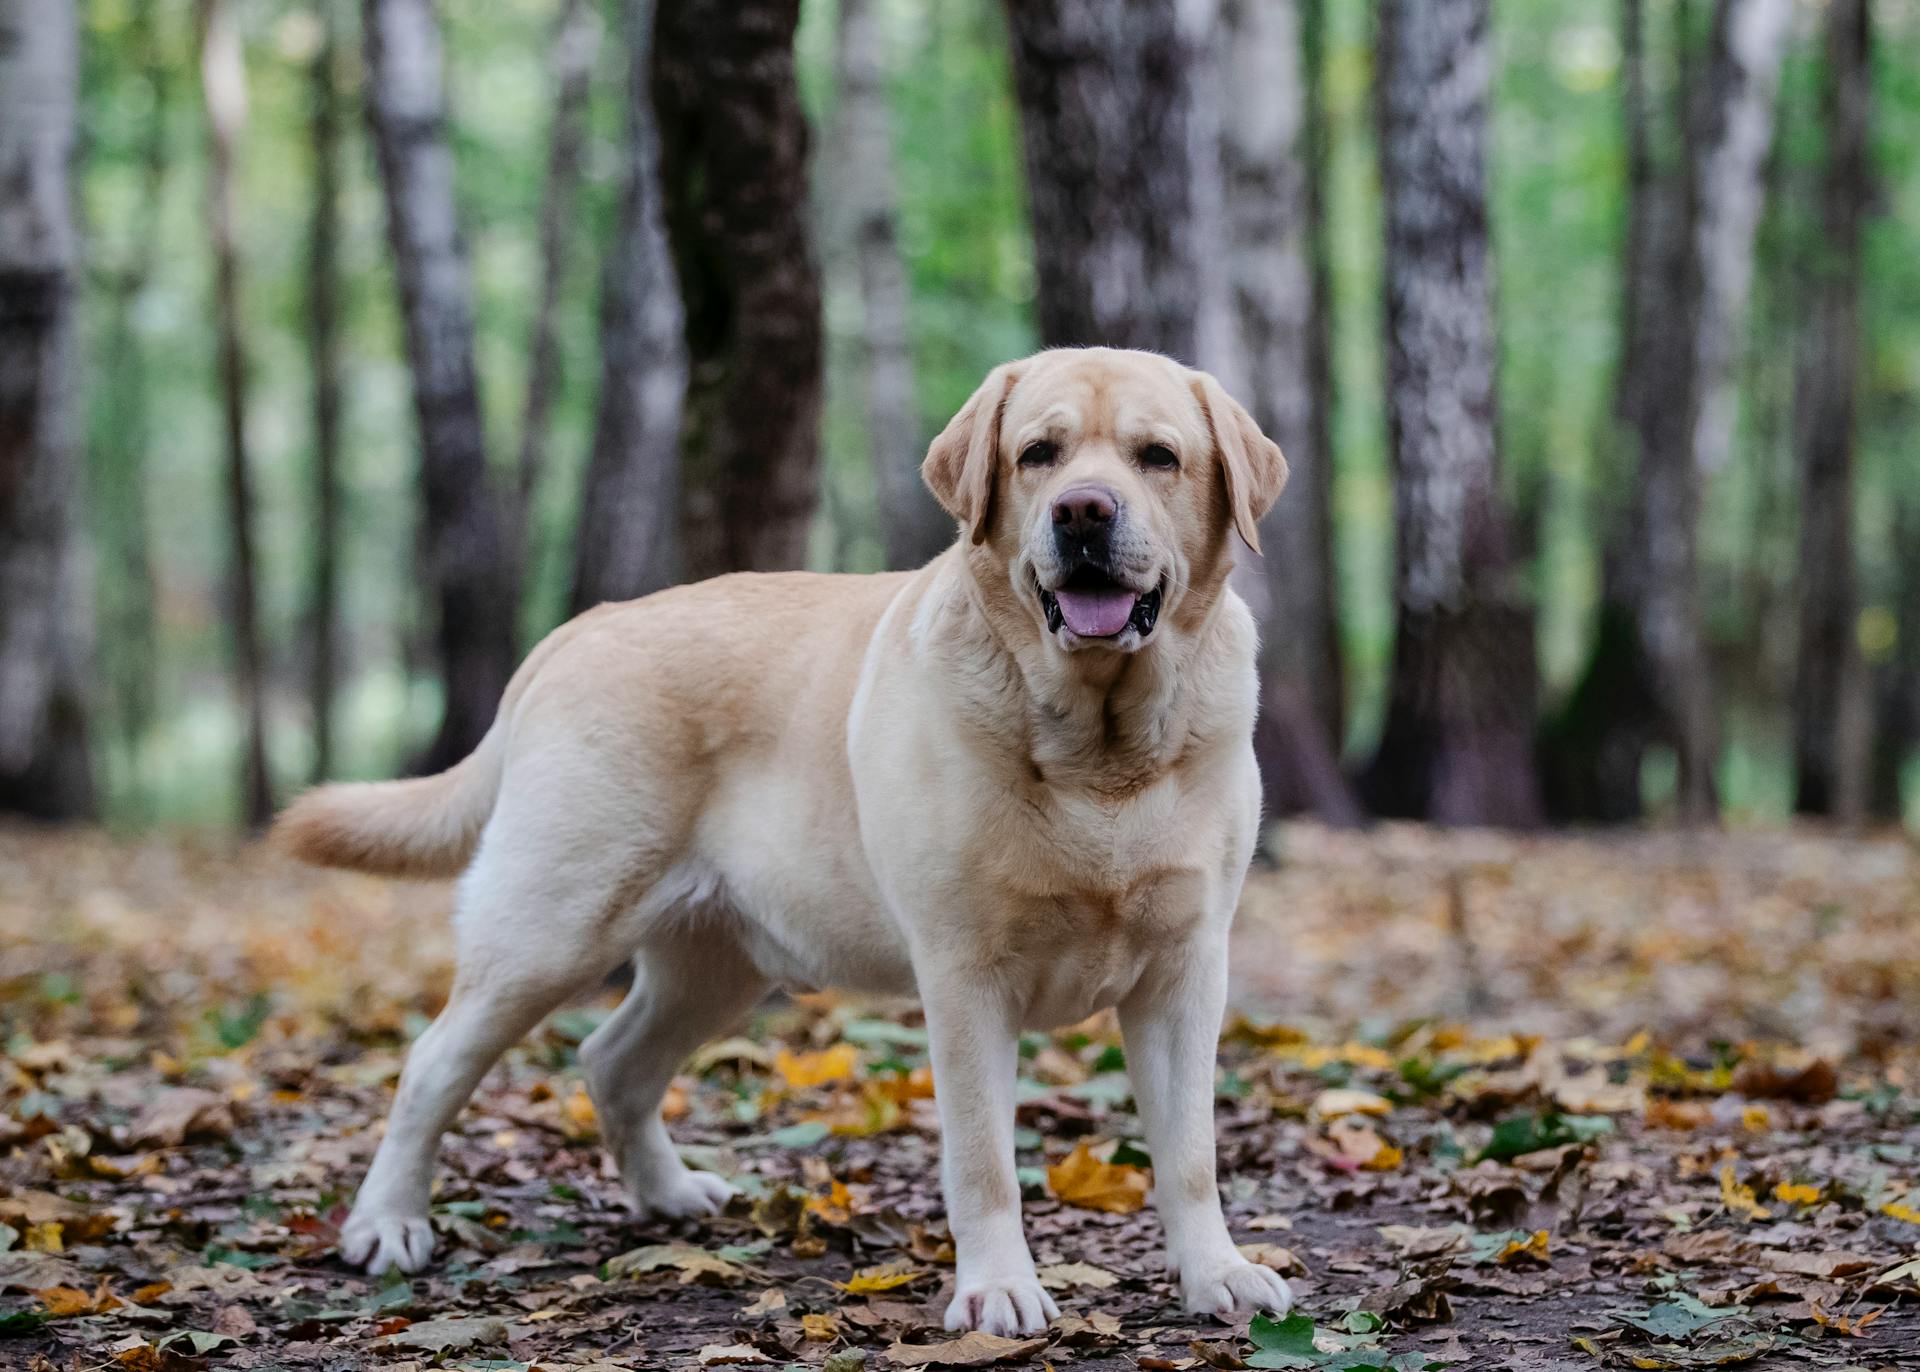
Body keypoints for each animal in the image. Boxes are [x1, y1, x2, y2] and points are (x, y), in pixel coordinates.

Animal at [274, 349, 1290, 1335]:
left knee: (613, 1061)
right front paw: (997, 1291)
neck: (1100, 753)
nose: (1083, 511)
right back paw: (387, 1223)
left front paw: (1217, 1275)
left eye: (1157, 457)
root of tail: (578, 629)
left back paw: (667, 1195)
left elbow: (1191, 1153)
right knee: (433, 1064)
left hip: (715, 963)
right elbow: (982, 1159)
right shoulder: (965, 975)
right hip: (548, 930)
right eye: (1038, 454)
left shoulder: (1186, 969)